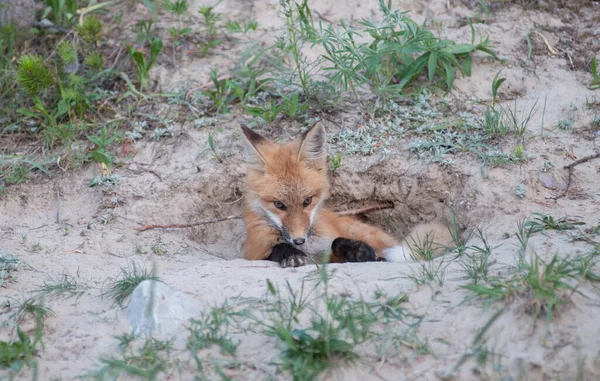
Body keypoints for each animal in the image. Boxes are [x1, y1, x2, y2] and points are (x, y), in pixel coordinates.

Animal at [239, 121, 450, 268]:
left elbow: (336, 242)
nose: (299, 240)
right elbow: (275, 249)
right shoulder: (253, 253)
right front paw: (290, 254)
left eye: (307, 201)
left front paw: (357, 251)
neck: (309, 247)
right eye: (278, 205)